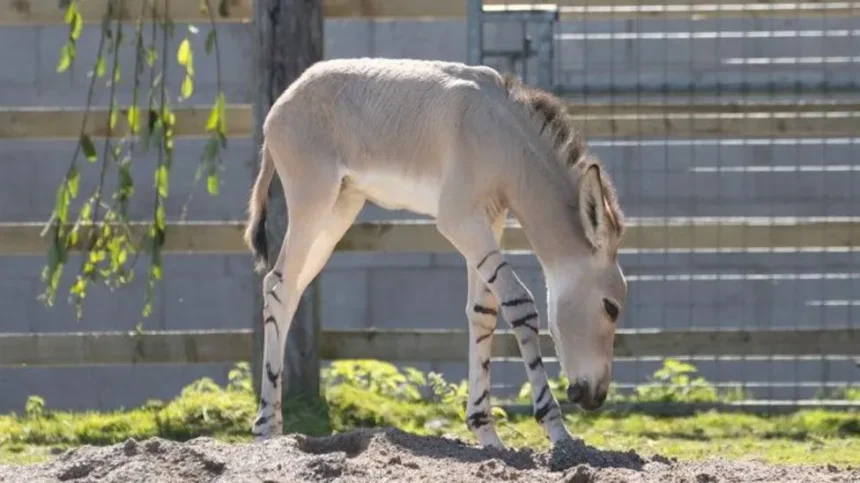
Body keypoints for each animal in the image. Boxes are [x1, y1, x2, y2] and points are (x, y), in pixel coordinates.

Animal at [240, 57, 624, 450]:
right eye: (611, 308)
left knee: (284, 286)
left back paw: (271, 427)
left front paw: (486, 433)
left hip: (337, 212)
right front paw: (558, 431)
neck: (501, 134)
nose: (595, 398)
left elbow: (483, 311)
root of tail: (283, 101)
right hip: (312, 203)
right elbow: (518, 303)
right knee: (280, 290)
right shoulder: (459, 220)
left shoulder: (488, 220)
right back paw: (267, 429)